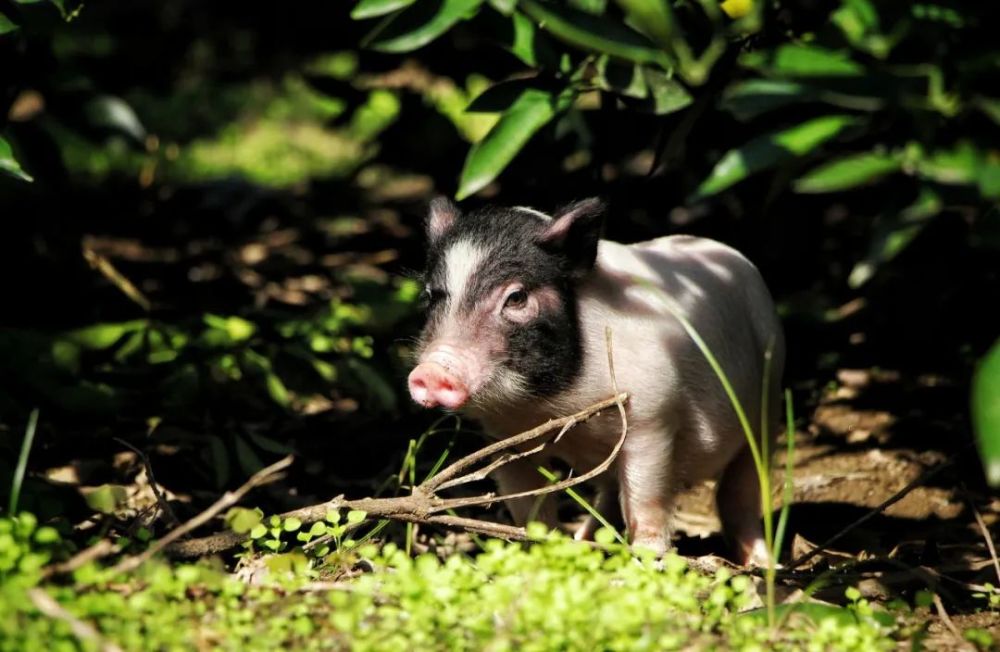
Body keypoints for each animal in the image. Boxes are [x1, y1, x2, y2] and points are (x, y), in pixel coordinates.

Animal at [404, 195, 780, 564]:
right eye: (429, 295)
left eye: (516, 297)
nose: (432, 371)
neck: (549, 406)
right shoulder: (505, 437)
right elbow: (528, 508)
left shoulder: (652, 416)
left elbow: (646, 500)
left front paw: (648, 557)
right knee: (610, 493)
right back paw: (584, 540)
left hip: (769, 401)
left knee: (740, 493)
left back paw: (762, 563)